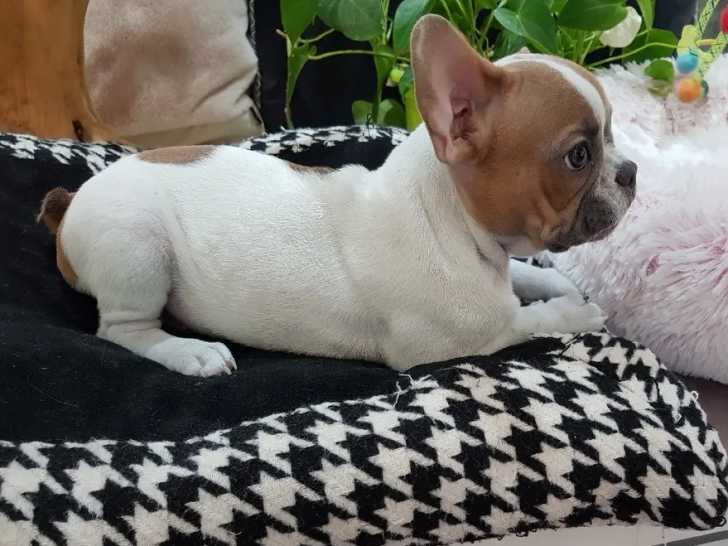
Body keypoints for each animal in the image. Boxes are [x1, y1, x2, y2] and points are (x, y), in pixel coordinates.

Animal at [38, 15, 636, 377]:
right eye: (579, 155)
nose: (630, 170)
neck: (453, 223)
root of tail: (69, 206)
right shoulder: (462, 340)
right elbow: (530, 322)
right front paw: (573, 312)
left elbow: (525, 276)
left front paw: (555, 282)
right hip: (136, 249)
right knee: (124, 329)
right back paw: (191, 351)